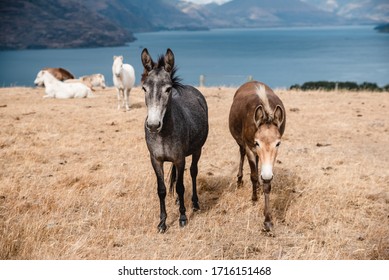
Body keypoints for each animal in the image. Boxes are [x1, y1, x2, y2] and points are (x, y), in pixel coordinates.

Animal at [140, 48, 208, 232]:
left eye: (168, 89)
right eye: (144, 89)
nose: (153, 125)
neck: (164, 133)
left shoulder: (179, 158)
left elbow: (180, 187)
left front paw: (183, 218)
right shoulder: (155, 160)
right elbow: (162, 189)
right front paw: (162, 222)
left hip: (197, 151)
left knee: (192, 172)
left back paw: (195, 203)